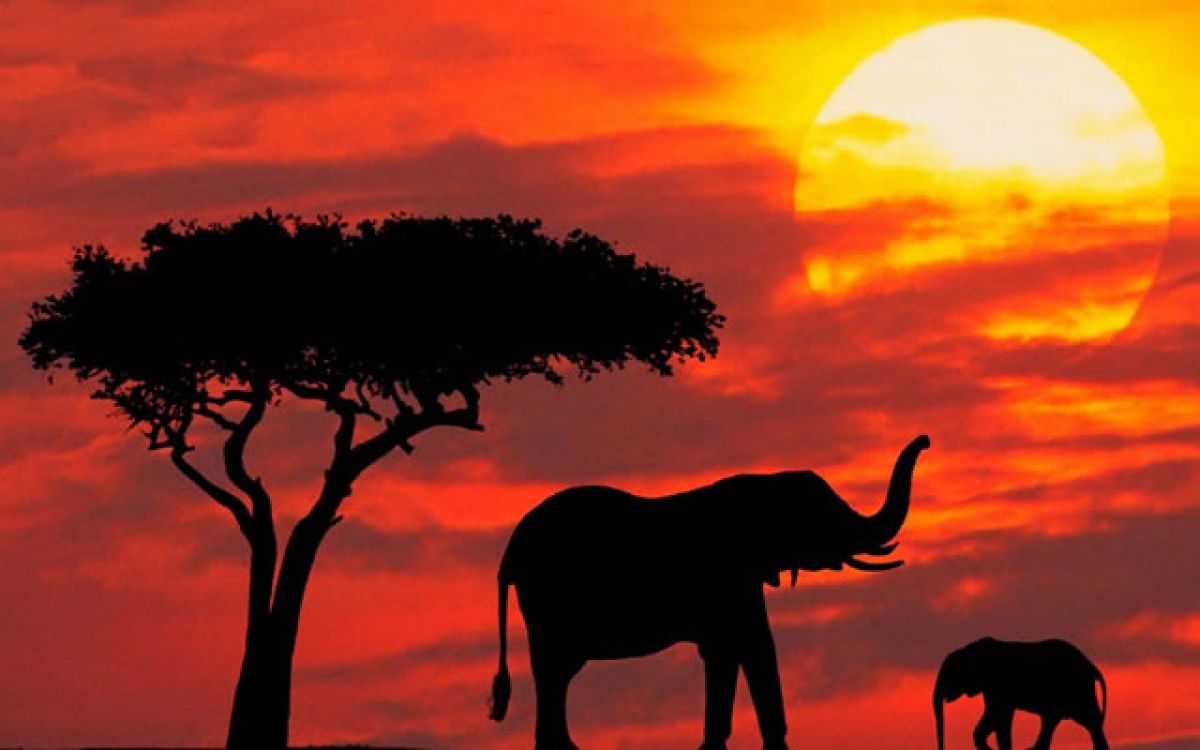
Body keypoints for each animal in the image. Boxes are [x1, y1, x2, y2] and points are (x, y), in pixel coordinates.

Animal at [488, 434, 930, 750]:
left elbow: (736, 649)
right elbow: (748, 645)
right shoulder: (729, 576)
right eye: (823, 517)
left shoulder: (741, 579)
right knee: (555, 669)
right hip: (549, 598)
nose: (926, 440)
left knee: (555, 673)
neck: (762, 483)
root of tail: (510, 552)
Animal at [934, 637, 1109, 750]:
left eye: (950, 673)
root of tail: (1092, 666)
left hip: (1076, 689)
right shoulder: (991, 688)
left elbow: (996, 714)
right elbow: (1000, 719)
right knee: (1083, 722)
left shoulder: (997, 685)